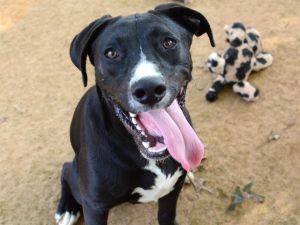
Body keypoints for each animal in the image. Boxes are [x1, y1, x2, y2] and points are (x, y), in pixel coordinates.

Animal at [55, 3, 214, 225]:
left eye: (168, 42)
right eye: (111, 53)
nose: (149, 89)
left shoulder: (171, 191)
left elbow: (166, 215)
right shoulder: (95, 206)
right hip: (79, 184)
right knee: (65, 169)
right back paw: (67, 208)